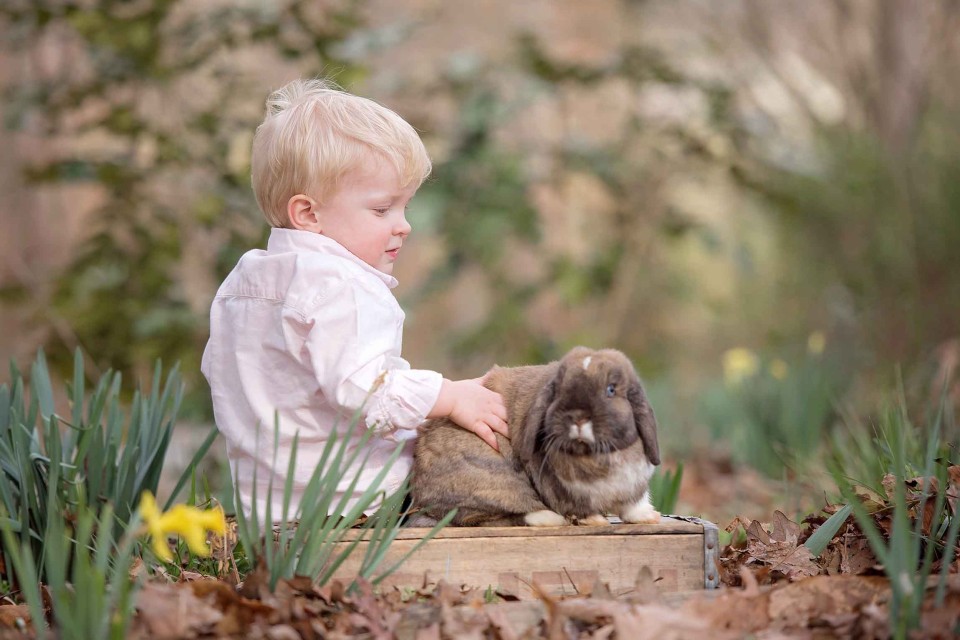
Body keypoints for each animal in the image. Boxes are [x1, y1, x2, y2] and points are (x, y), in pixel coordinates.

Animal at [408, 348, 664, 528]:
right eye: (561, 389)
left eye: (611, 390)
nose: (578, 416)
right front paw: (592, 520)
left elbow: (634, 504)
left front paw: (647, 516)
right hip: (493, 484)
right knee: (478, 516)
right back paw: (549, 518)